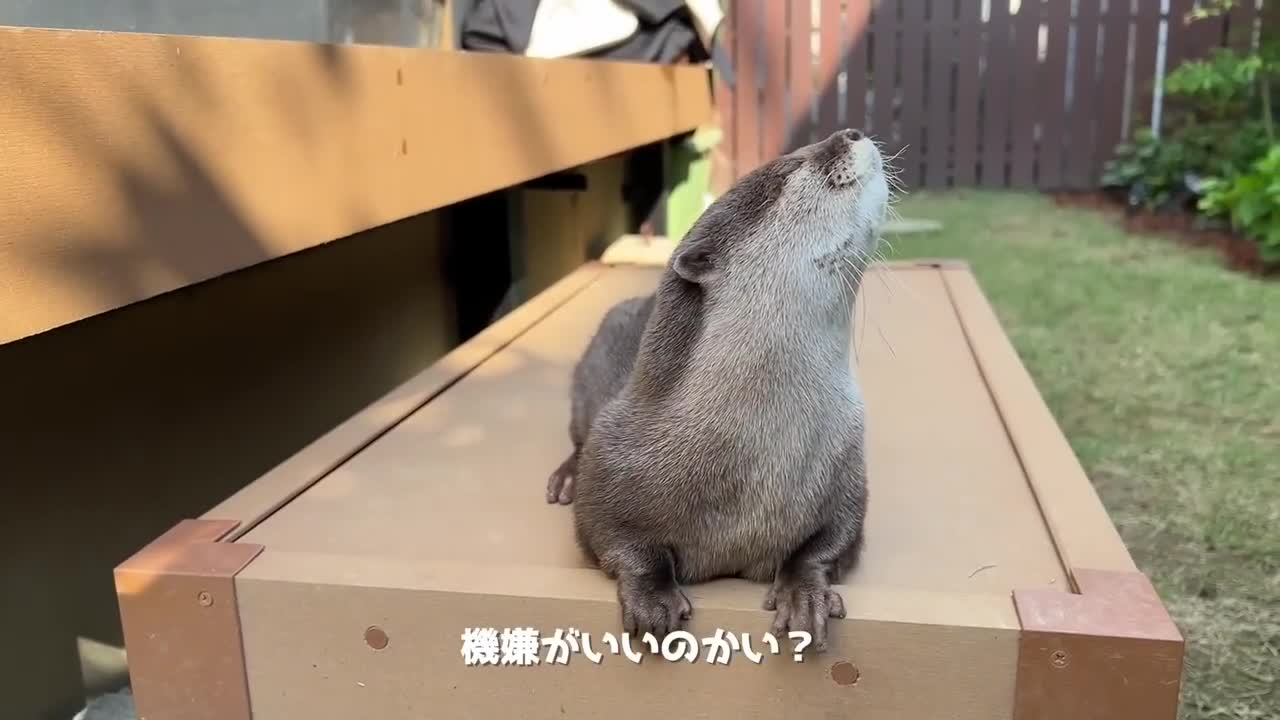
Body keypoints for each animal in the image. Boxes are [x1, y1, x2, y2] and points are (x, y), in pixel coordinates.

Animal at [542, 128, 890, 650]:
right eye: (788, 169)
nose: (851, 133)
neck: (756, 456)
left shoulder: (846, 471)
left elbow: (832, 542)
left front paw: (803, 593)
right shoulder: (614, 456)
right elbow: (606, 534)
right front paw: (653, 597)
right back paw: (565, 475)